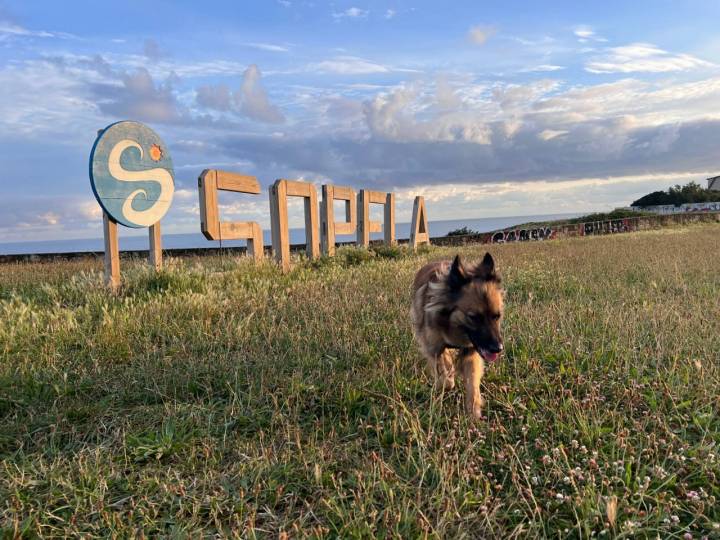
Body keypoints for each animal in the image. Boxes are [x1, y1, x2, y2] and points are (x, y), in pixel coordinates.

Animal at [410, 251, 506, 420]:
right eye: (474, 317)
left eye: (497, 316)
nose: (498, 348)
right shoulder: (434, 348)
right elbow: (445, 375)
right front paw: (446, 380)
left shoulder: (471, 352)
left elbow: (472, 383)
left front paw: (473, 415)